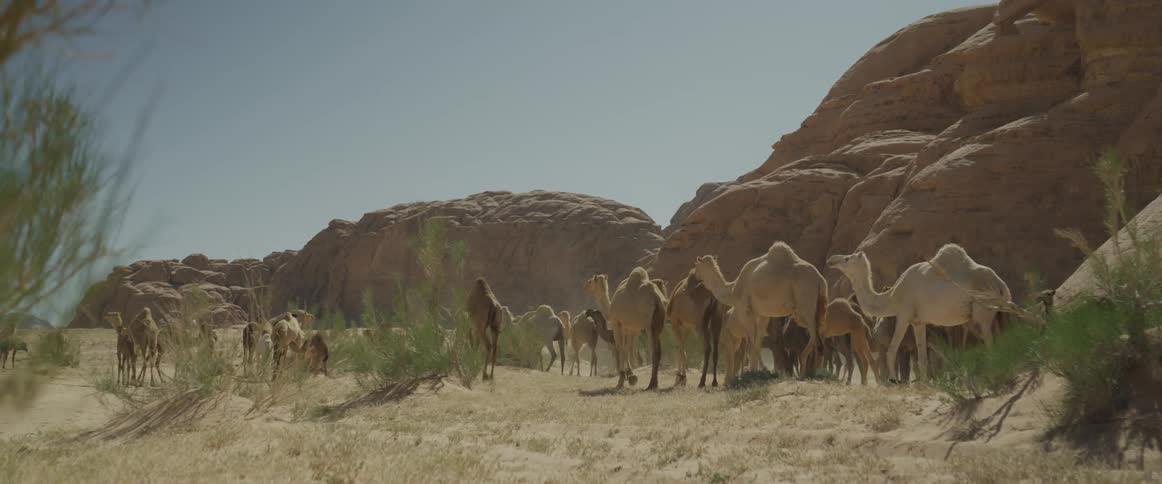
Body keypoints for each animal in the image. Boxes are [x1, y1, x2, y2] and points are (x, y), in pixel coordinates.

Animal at [694, 242, 829, 375]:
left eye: (696, 266)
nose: (694, 276)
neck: (733, 290)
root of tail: (820, 279)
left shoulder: (746, 310)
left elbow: (752, 342)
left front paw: (754, 371)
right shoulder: (764, 314)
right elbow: (757, 342)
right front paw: (756, 370)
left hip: (804, 305)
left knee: (815, 335)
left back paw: (806, 372)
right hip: (817, 308)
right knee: (819, 333)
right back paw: (811, 371)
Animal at [827, 243, 1013, 382]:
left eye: (847, 258)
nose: (831, 260)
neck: (893, 297)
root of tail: (1001, 286)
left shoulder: (903, 315)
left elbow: (892, 351)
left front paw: (894, 381)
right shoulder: (918, 322)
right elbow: (922, 358)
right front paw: (924, 384)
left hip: (983, 312)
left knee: (989, 343)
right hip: (996, 315)